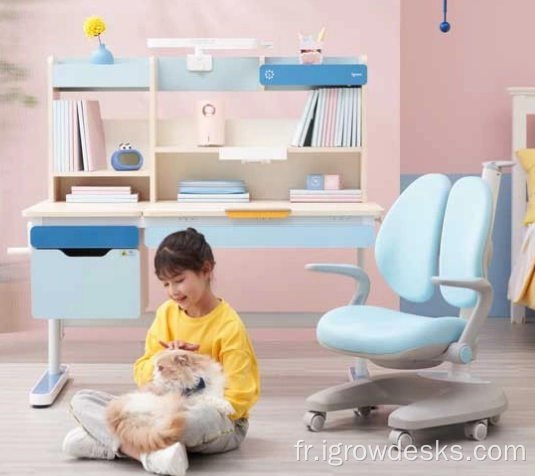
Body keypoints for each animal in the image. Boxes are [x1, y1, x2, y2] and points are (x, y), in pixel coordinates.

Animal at [105, 350, 233, 454]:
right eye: (156, 368)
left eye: (161, 368)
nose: (154, 376)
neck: (199, 382)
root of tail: (119, 416)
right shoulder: (191, 398)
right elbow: (207, 398)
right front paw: (227, 408)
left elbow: (216, 397)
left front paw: (226, 406)